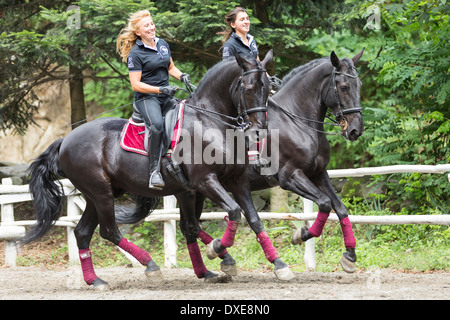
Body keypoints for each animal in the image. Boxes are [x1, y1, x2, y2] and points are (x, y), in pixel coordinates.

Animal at [22, 52, 278, 290]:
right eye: (249, 88)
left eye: (268, 89)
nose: (260, 129)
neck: (209, 121)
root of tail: (65, 140)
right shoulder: (205, 182)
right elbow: (231, 213)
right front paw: (217, 250)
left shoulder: (232, 181)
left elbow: (251, 219)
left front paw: (278, 265)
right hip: (101, 193)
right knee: (109, 231)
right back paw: (150, 266)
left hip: (98, 195)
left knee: (83, 232)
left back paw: (96, 280)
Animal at [158, 50, 366, 278]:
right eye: (344, 87)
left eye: (359, 85)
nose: (355, 130)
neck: (297, 120)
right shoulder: (290, 176)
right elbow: (325, 203)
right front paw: (300, 235)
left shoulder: (319, 174)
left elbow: (340, 208)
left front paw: (349, 257)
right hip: (191, 190)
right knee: (189, 226)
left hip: (197, 191)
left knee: (190, 227)